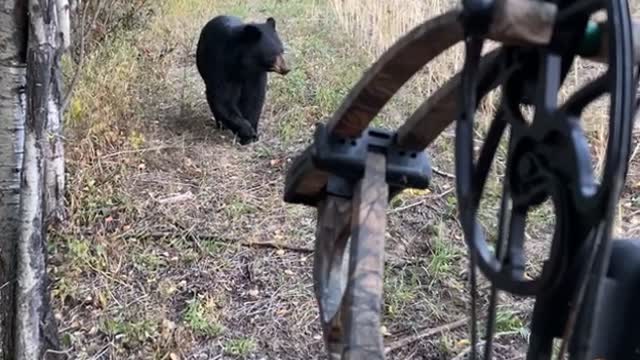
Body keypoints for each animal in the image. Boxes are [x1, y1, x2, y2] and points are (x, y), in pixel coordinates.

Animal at [195, 15, 290, 145]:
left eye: (282, 50)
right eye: (272, 55)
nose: (286, 69)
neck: (243, 66)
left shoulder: (255, 75)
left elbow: (254, 99)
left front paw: (253, 133)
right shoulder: (221, 67)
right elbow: (222, 99)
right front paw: (247, 132)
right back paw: (221, 125)